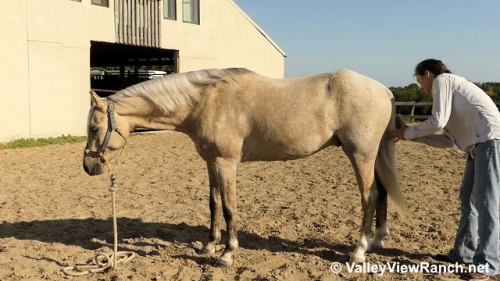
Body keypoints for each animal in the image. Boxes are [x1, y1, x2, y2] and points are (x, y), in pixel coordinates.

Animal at [83, 67, 406, 264]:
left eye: (94, 127)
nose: (88, 166)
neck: (206, 102)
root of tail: (383, 90)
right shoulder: (210, 162)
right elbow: (213, 204)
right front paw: (209, 245)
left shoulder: (226, 164)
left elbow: (229, 208)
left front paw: (227, 254)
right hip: (372, 155)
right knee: (381, 193)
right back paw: (377, 239)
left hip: (360, 154)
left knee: (369, 196)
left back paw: (359, 251)